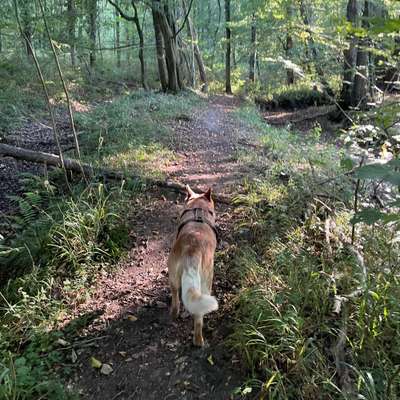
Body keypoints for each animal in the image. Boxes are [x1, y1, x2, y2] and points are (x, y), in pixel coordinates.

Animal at [168, 186, 220, 346]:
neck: (198, 209)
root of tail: (192, 249)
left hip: (172, 273)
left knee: (175, 297)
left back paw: (174, 313)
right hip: (206, 284)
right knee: (198, 318)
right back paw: (199, 341)